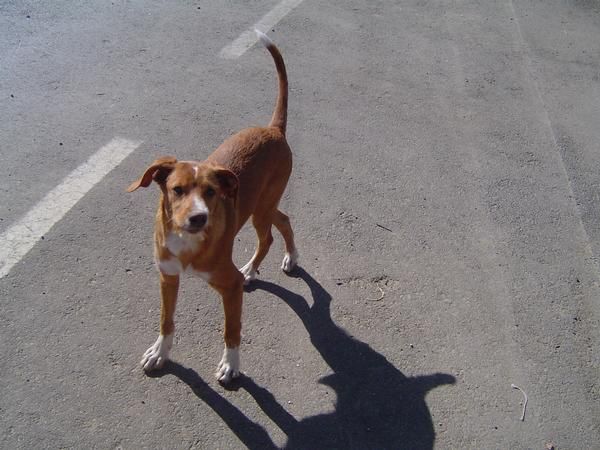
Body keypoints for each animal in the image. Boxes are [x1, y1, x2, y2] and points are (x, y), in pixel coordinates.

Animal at [129, 30, 300, 384]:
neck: (187, 243)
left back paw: (265, 265)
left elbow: (231, 330)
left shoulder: (229, 286)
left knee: (269, 235)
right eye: (176, 190)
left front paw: (231, 365)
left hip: (262, 207)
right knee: (283, 220)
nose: (198, 218)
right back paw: (277, 260)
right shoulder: (167, 277)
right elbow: (166, 320)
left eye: (211, 192)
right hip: (262, 204)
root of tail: (272, 129)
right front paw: (160, 353)